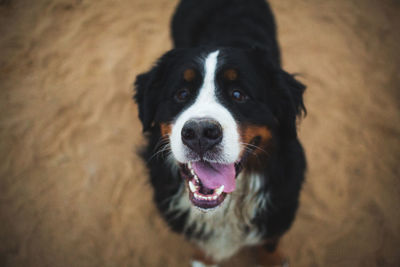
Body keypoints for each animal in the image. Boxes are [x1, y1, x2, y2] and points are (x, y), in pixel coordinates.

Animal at [134, 1, 306, 266]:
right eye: (181, 94)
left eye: (238, 94)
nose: (200, 132)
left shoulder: (280, 208)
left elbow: (269, 243)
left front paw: (275, 260)